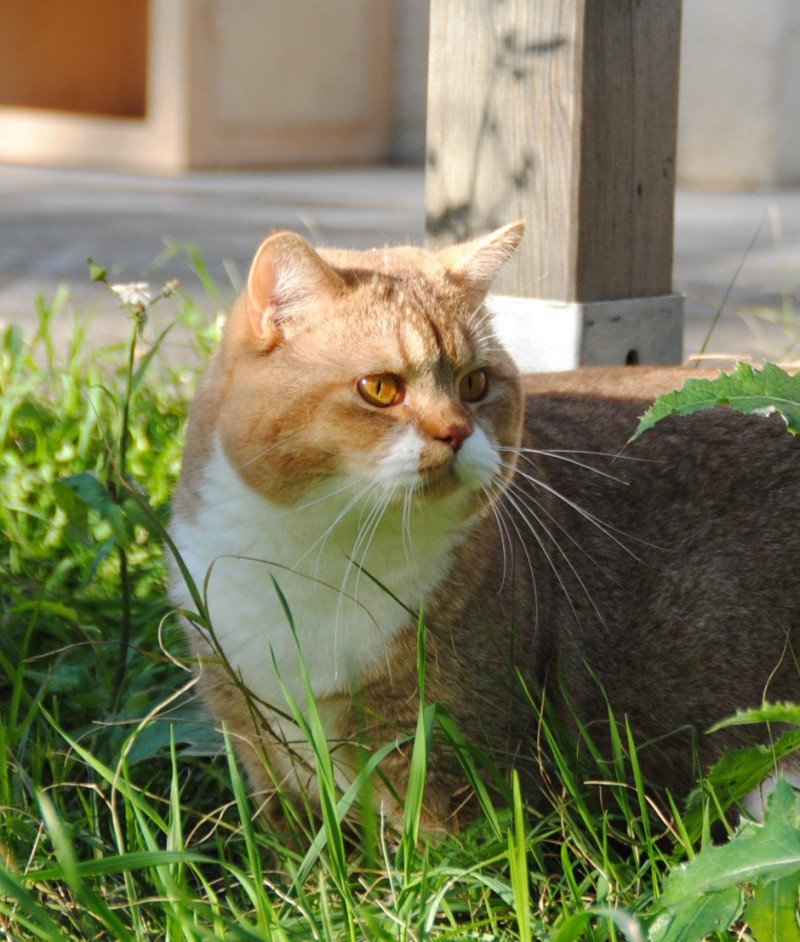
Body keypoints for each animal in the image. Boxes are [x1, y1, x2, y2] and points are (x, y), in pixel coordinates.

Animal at [172, 223, 800, 832]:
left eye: (475, 384)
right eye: (380, 388)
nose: (455, 431)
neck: (318, 557)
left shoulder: (453, 761)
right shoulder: (258, 743)